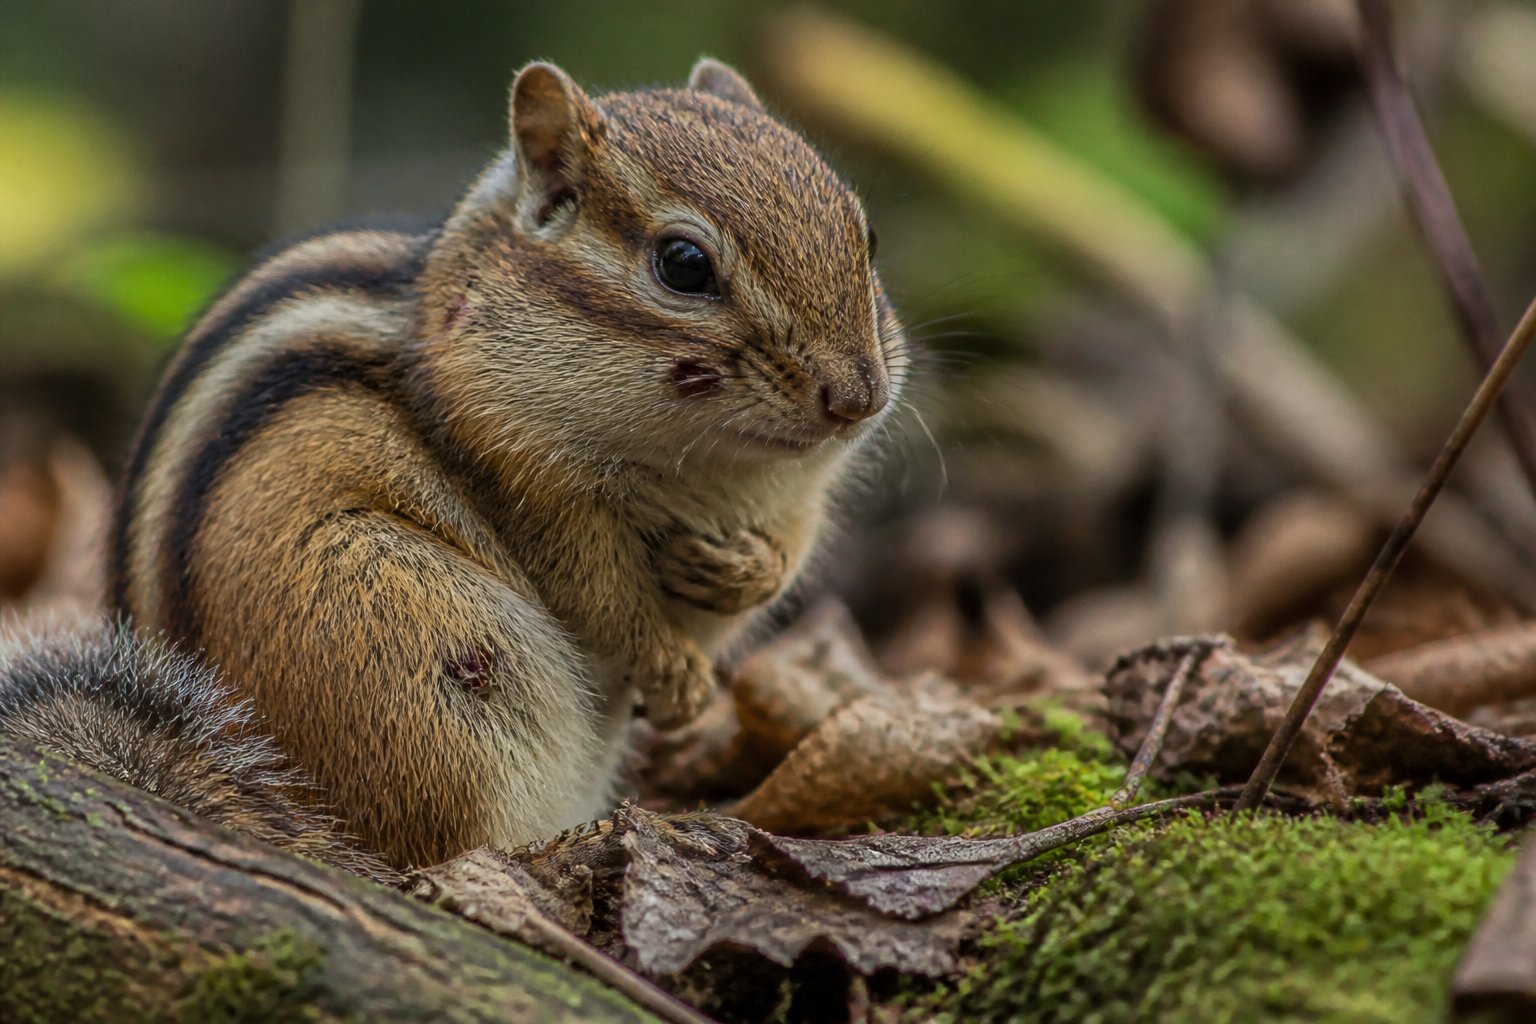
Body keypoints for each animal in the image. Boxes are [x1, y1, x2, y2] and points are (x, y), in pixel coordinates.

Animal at [0, 58, 905, 872]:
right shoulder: (523, 478)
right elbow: (602, 600)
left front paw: (737, 572)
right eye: (684, 264)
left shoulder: (798, 500)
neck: (719, 469)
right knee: (437, 848)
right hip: (411, 651)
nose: (858, 397)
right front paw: (678, 675)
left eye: (866, 236)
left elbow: (783, 565)